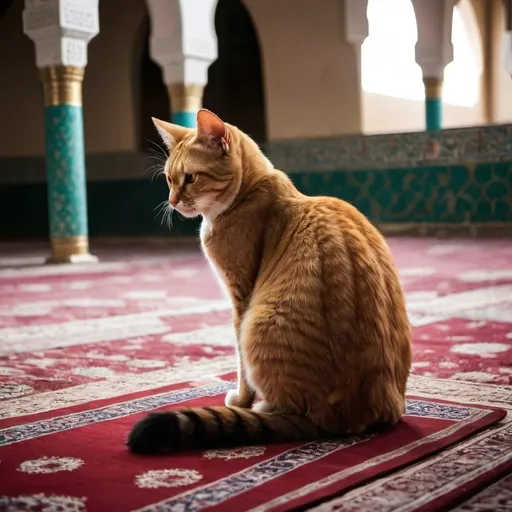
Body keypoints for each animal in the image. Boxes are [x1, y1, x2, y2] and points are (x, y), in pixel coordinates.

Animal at [127, 109, 412, 452]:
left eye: (191, 178)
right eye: (169, 179)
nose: (172, 201)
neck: (250, 191)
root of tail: (356, 414)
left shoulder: (240, 298)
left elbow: (240, 366)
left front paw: (241, 401)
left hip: (259, 322)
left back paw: (265, 408)